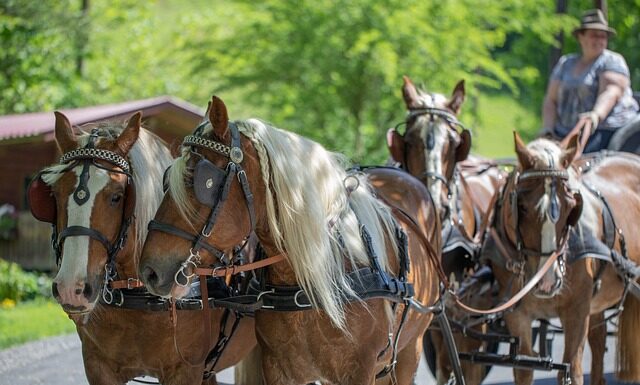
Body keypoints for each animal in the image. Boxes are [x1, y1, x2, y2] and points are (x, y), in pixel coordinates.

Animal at [26, 110, 258, 384]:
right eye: (54, 195)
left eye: (117, 197)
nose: (72, 288)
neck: (140, 299)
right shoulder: (97, 366)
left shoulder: (185, 370)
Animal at [482, 130, 640, 382]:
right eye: (522, 206)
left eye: (571, 206)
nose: (548, 281)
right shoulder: (517, 316)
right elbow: (523, 369)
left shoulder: (577, 312)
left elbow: (571, 370)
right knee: (598, 341)